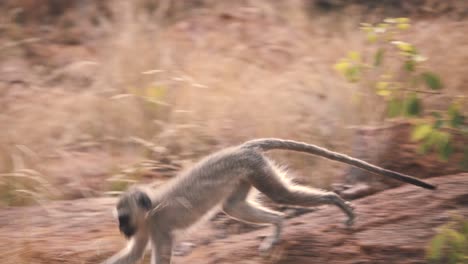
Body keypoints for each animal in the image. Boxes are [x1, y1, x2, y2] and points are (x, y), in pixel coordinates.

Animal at [102, 139, 436, 262]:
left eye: (123, 218)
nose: (121, 230)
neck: (148, 211)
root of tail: (242, 148)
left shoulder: (159, 227)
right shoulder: (146, 229)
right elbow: (134, 254)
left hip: (256, 169)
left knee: (281, 195)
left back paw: (337, 202)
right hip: (247, 175)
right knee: (234, 207)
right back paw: (277, 226)